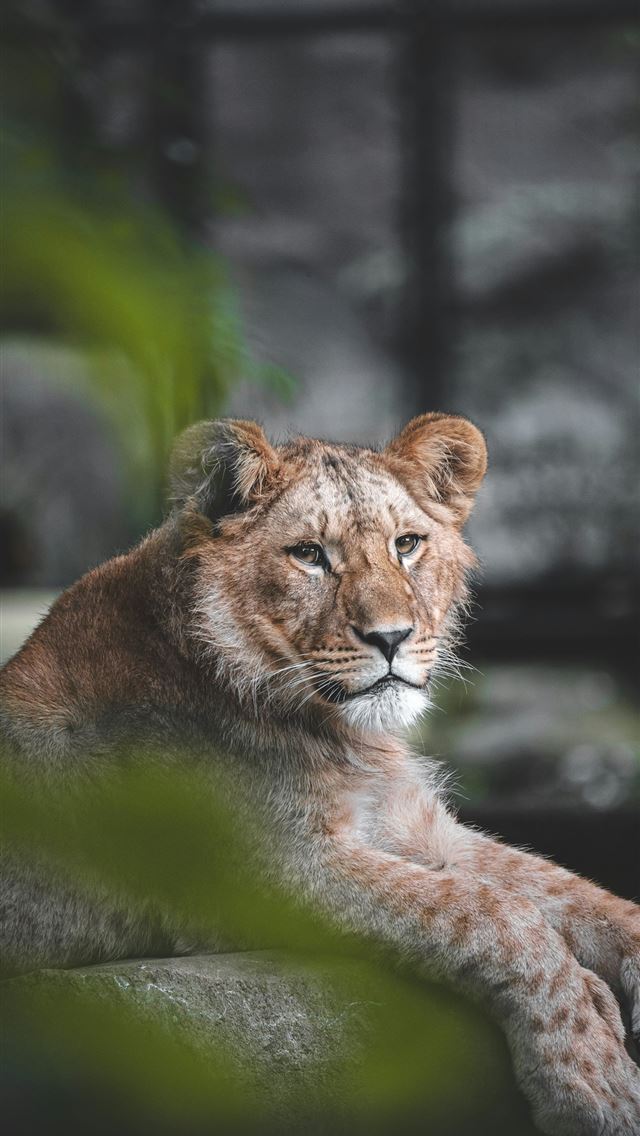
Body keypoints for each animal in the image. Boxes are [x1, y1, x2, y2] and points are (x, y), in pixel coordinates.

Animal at [1, 413, 639, 1135]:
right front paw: (591, 1072)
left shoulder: (416, 827)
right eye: (309, 554)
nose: (392, 637)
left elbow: (564, 889)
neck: (340, 731)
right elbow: (493, 913)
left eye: (407, 545)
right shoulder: (263, 873)